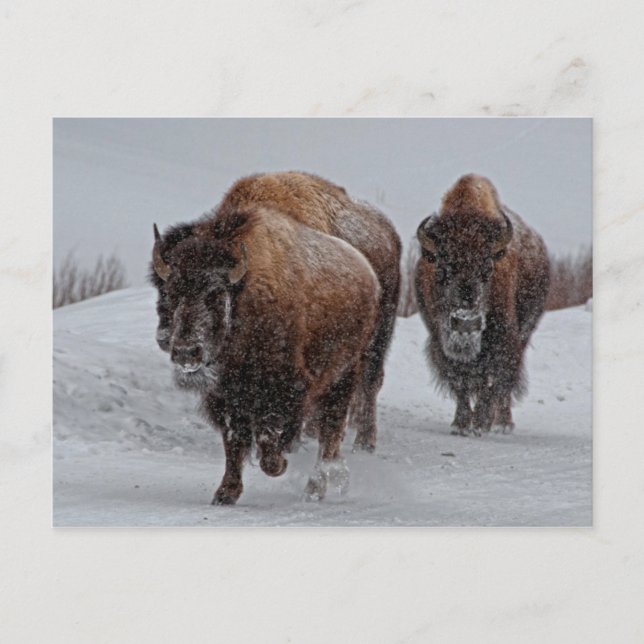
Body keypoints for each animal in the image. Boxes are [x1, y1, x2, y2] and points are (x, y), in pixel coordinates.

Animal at [414, 174, 550, 436]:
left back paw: (502, 423)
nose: (466, 324)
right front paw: (460, 424)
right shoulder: (439, 339)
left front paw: (480, 424)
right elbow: (460, 381)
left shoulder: (503, 339)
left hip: (524, 333)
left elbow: (492, 380)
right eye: (442, 269)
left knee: (504, 385)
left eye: (487, 269)